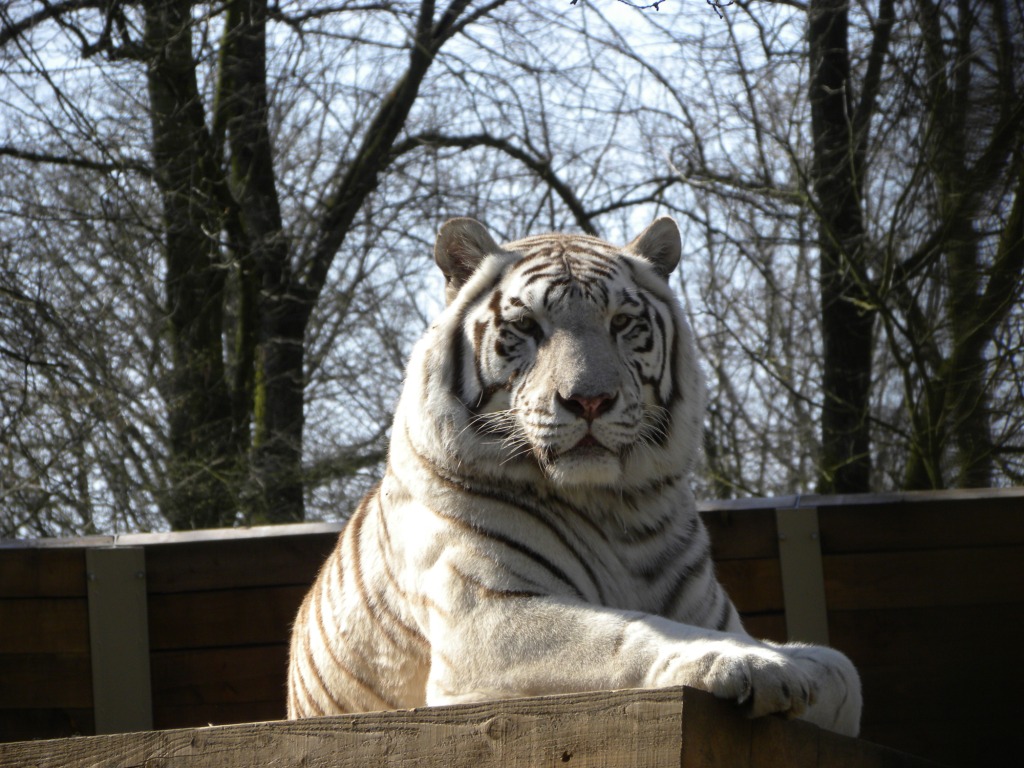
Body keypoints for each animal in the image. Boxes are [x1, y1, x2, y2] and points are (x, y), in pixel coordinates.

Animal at [288, 219, 864, 737]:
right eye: (526, 327)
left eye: (623, 322)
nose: (589, 400)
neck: (614, 508)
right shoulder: (486, 619)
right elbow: (627, 631)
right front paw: (750, 666)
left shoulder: (712, 611)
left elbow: (843, 671)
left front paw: (797, 670)